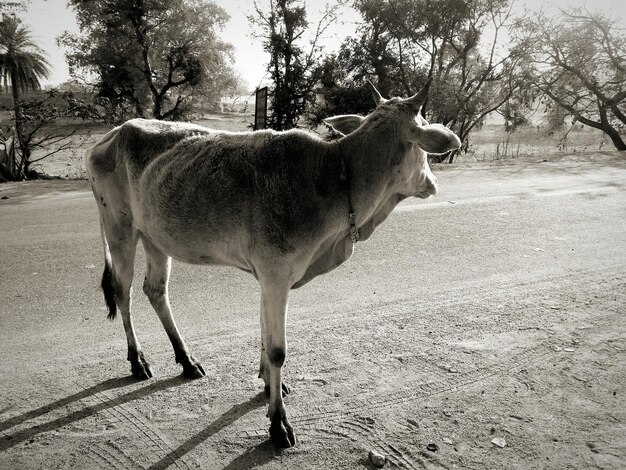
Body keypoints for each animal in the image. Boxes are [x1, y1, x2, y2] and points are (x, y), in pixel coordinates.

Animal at [85, 79, 458, 450]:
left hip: (155, 237)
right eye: (424, 136)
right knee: (122, 292)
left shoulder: (269, 278)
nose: (434, 183)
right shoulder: (276, 275)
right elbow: (278, 350)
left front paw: (268, 384)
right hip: (119, 228)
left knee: (155, 290)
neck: (338, 176)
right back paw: (137, 361)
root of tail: (112, 134)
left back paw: (187, 361)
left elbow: (264, 333)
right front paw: (278, 424)